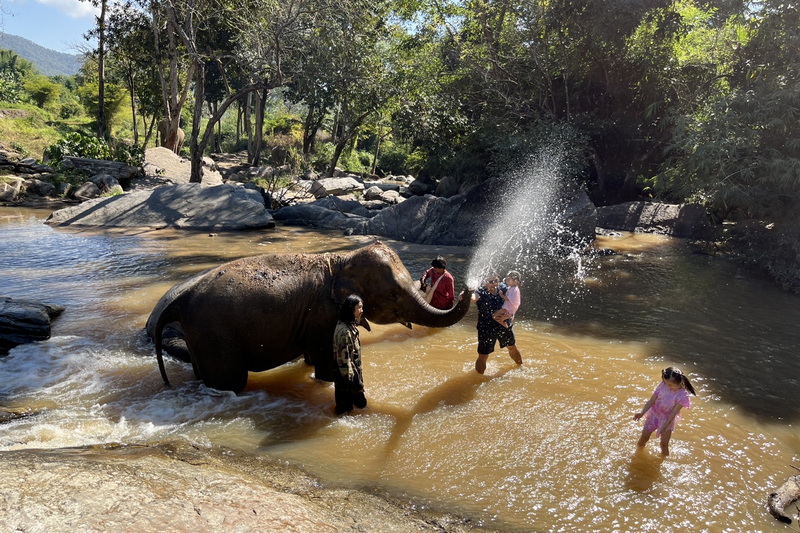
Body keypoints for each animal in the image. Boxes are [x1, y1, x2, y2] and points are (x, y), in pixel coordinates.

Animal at [147, 241, 472, 393]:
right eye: (393, 295)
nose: (471, 289)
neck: (341, 261)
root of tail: (180, 298)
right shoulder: (326, 314)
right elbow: (327, 360)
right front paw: (328, 381)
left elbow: (312, 355)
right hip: (214, 332)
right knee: (232, 380)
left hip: (201, 335)